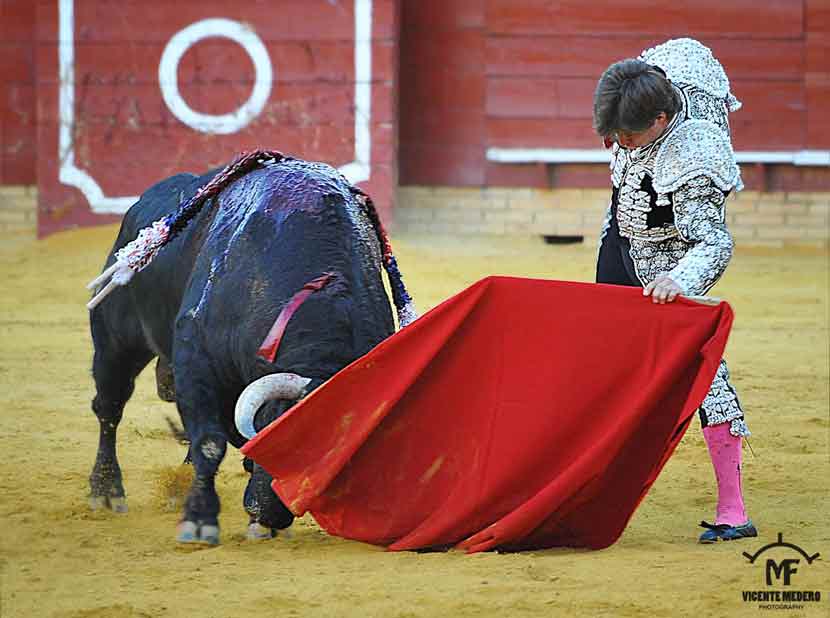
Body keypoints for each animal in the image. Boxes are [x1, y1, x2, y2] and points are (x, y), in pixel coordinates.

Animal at [86, 152, 416, 540]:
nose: (268, 514)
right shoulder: (196, 360)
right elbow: (210, 442)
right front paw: (199, 520)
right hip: (116, 341)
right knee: (110, 407)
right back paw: (107, 491)